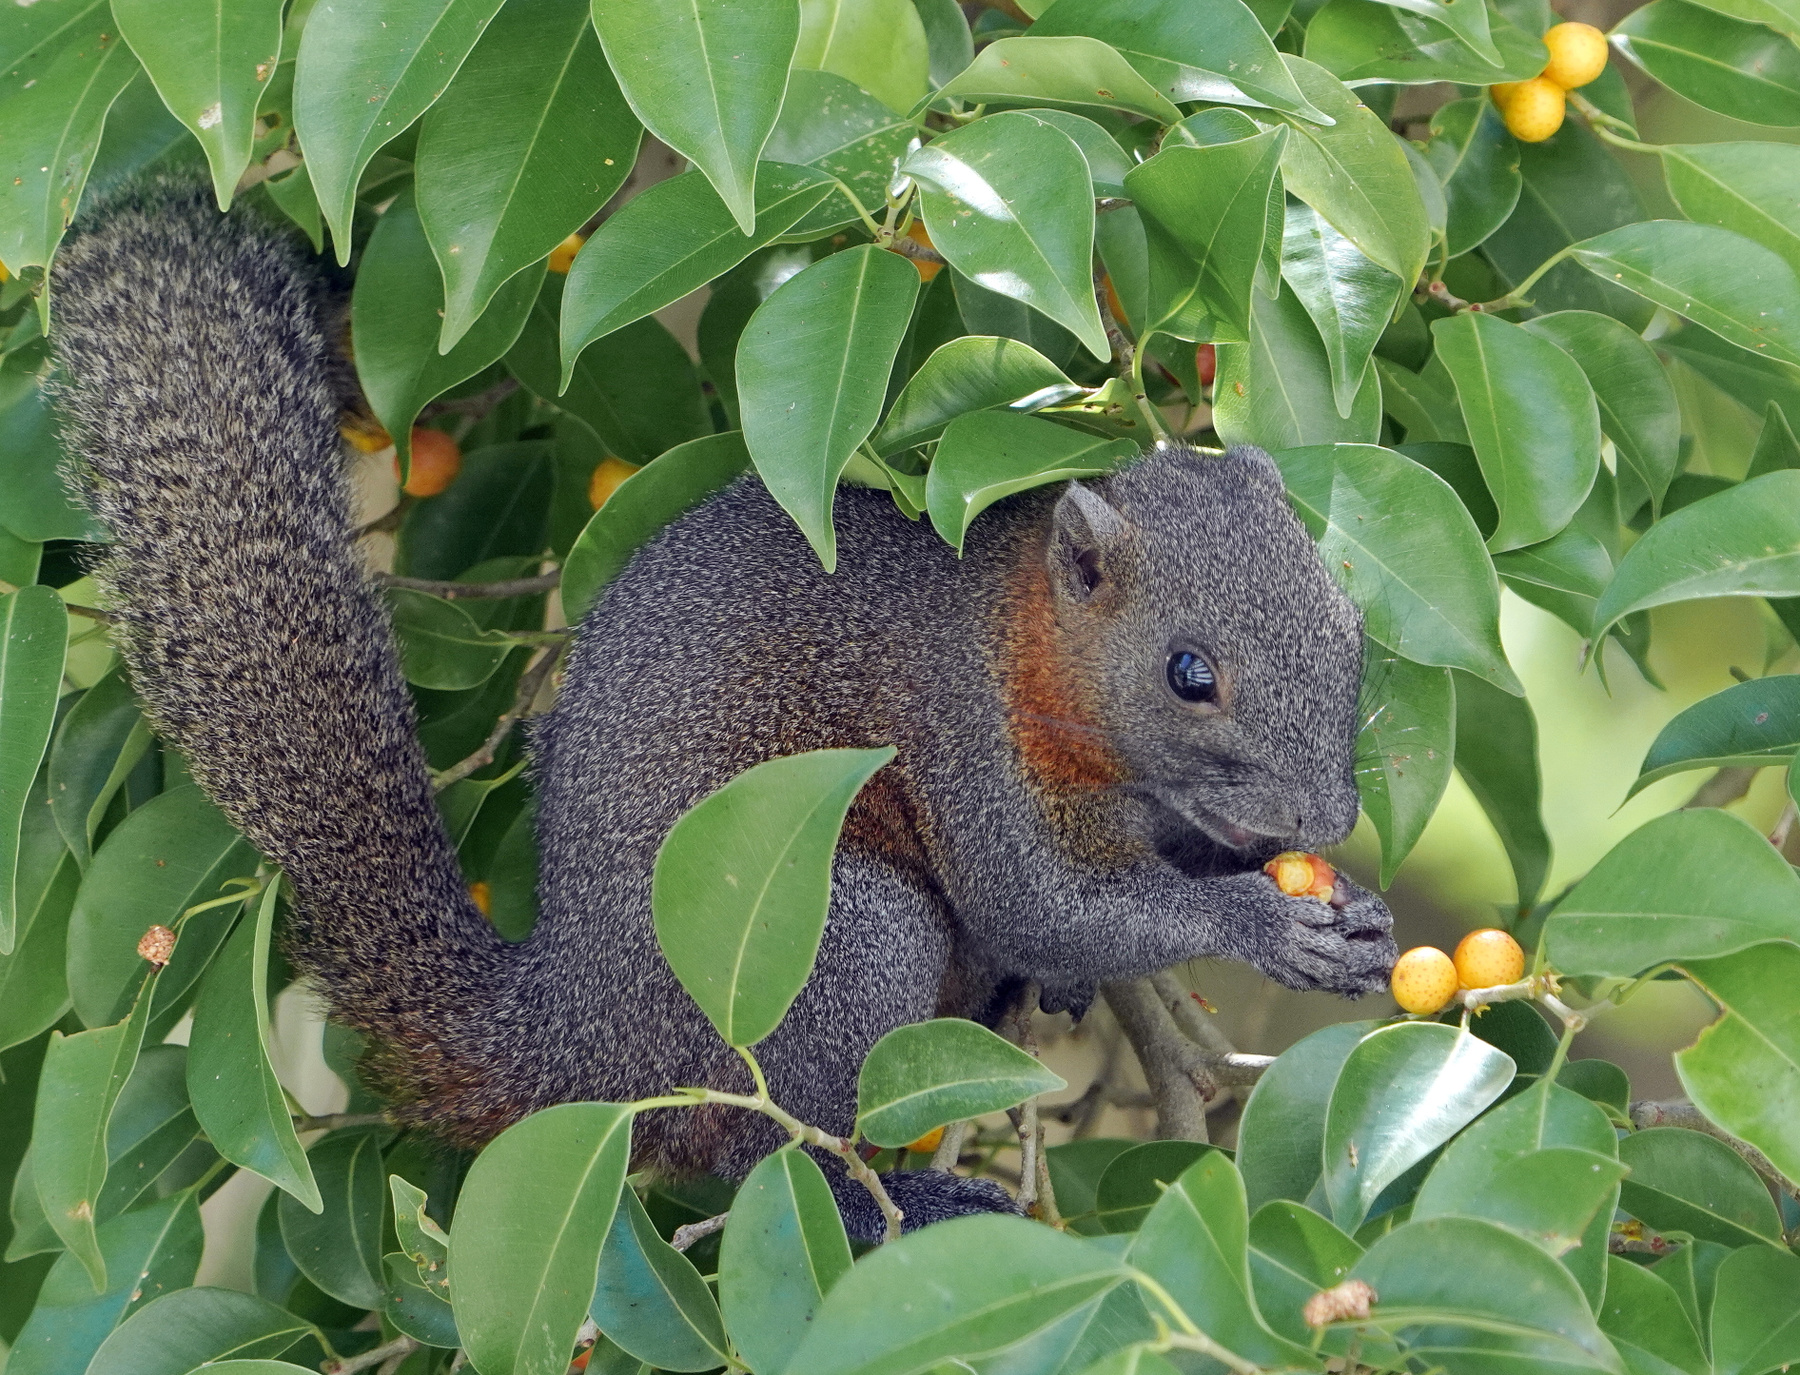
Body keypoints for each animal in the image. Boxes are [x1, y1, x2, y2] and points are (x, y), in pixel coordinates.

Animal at [48, 177, 1397, 1241]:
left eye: (1353, 619)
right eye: (1188, 671)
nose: (1325, 816)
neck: (1041, 661)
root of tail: (587, 1043)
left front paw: (1328, 902)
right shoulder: (959, 729)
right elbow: (1044, 902)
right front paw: (1260, 923)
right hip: (832, 944)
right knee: (773, 1151)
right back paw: (895, 1201)